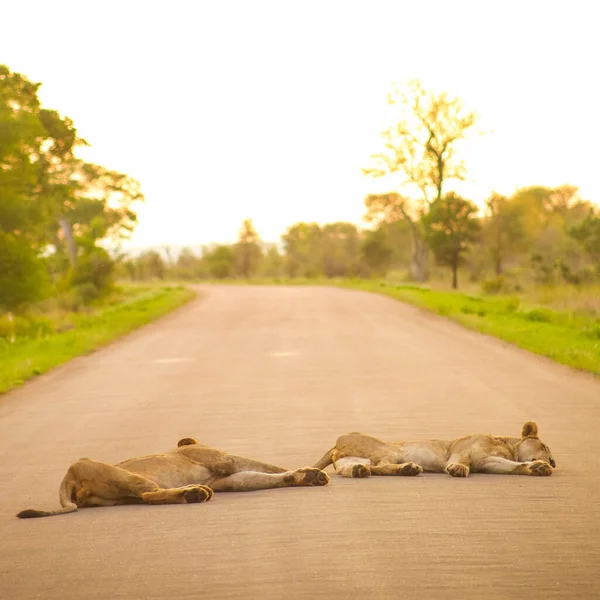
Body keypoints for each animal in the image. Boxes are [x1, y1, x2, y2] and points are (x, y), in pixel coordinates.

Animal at [17, 438, 328, 516]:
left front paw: (307, 476)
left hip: (113, 498)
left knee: (148, 498)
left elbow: (257, 476)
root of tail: (68, 475)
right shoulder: (223, 460)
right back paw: (194, 493)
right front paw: (314, 471)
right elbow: (266, 466)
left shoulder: (224, 480)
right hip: (117, 474)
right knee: (148, 494)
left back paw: (193, 492)